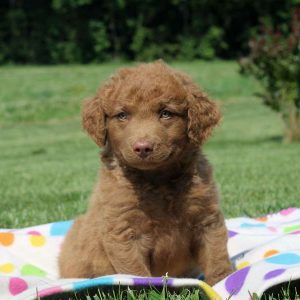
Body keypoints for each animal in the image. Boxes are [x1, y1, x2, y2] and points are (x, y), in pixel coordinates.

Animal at [58, 61, 232, 286]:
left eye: (166, 113)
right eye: (122, 115)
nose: (142, 147)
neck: (158, 181)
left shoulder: (207, 220)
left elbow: (217, 259)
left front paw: (224, 284)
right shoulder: (124, 231)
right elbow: (135, 272)